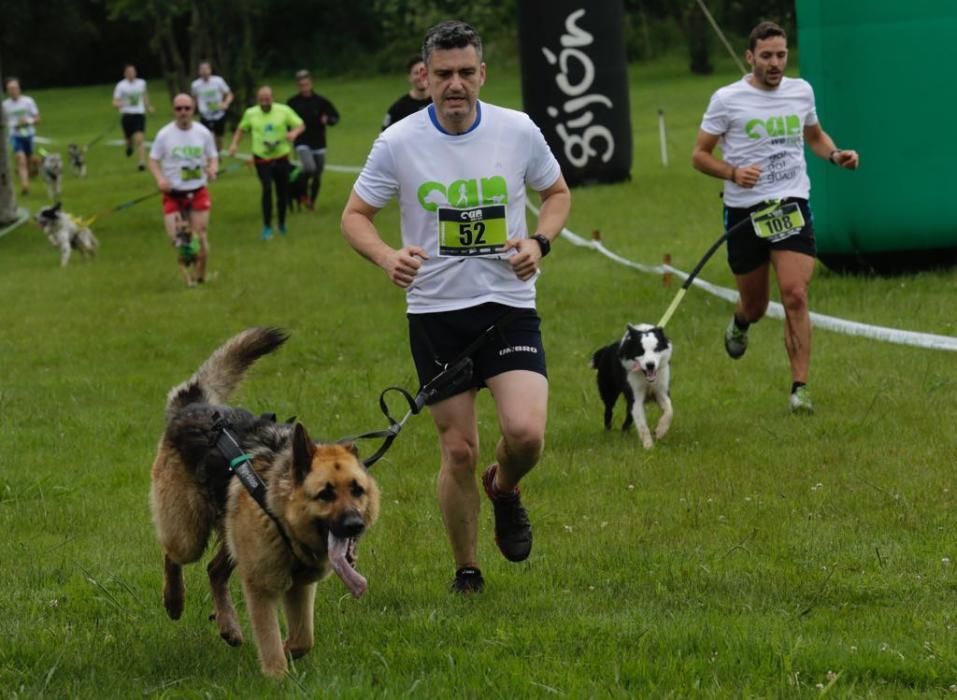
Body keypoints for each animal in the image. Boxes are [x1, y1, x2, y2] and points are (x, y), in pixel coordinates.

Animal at [148, 328, 380, 680]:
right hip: (188, 535)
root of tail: (193, 405)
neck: (281, 510)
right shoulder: (261, 587)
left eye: (357, 491)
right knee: (173, 555)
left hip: (233, 541)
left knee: (214, 570)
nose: (355, 525)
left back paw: (229, 626)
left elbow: (303, 639)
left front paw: (288, 651)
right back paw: (174, 600)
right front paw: (277, 677)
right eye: (325, 494)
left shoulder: (300, 586)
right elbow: (270, 639)